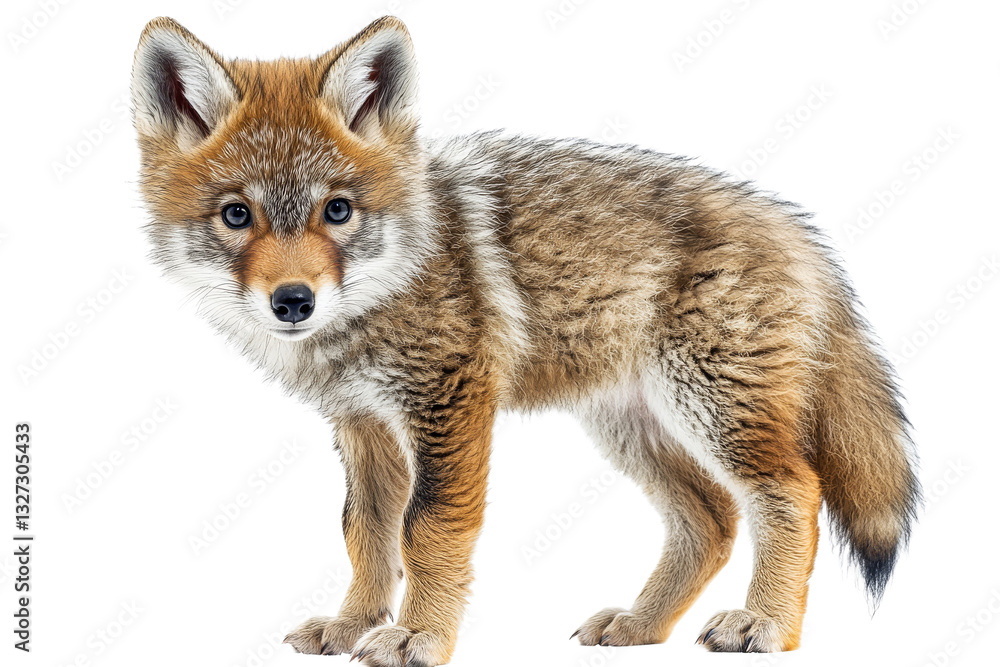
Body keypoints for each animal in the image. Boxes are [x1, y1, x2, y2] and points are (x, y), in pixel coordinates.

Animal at [129, 15, 920, 665]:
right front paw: (353, 626)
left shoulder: (449, 402)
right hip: (631, 426)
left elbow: (425, 531)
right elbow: (367, 533)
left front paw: (419, 637)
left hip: (713, 410)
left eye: (338, 210)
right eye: (237, 215)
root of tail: (795, 225)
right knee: (712, 520)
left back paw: (767, 624)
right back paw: (642, 625)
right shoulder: (362, 423)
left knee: (793, 491)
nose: (293, 301)